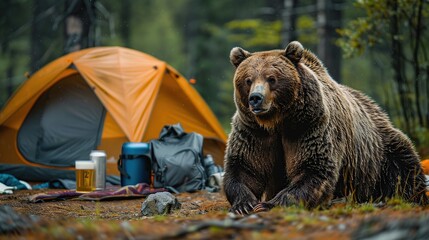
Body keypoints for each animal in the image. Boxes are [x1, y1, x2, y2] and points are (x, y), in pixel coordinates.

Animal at [222, 40, 428, 215]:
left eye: (271, 78)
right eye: (248, 80)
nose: (255, 98)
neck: (278, 121)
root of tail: (379, 112)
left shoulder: (309, 126)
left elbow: (313, 168)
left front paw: (269, 204)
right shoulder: (253, 131)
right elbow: (245, 167)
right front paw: (244, 204)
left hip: (381, 153)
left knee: (404, 168)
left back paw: (412, 197)